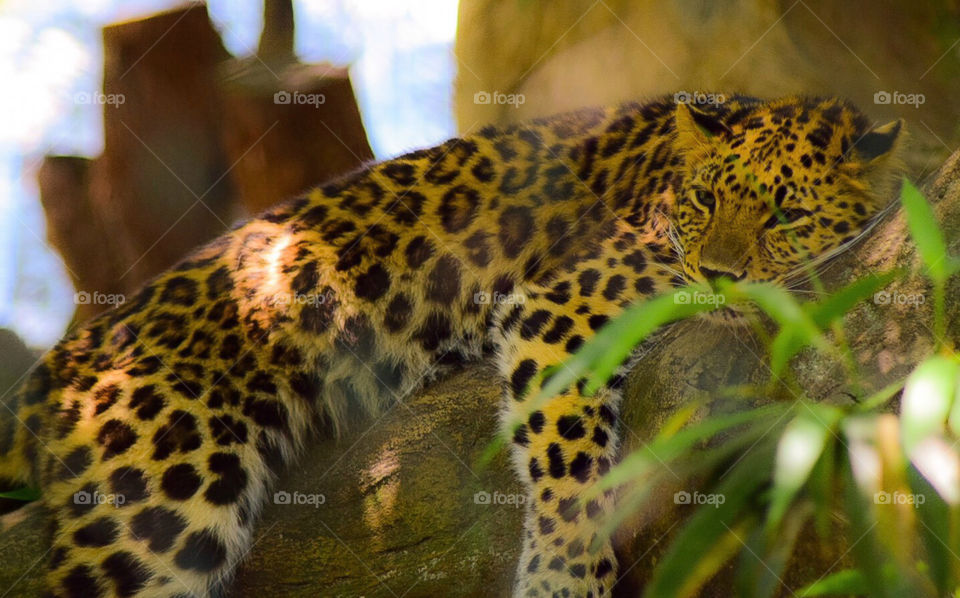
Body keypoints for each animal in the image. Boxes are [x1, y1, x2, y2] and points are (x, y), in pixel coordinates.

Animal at [0, 94, 903, 598]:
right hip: (158, 504)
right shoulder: (563, 305)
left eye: (786, 214)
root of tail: (62, 361)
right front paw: (562, 581)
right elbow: (571, 473)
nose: (714, 273)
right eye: (707, 199)